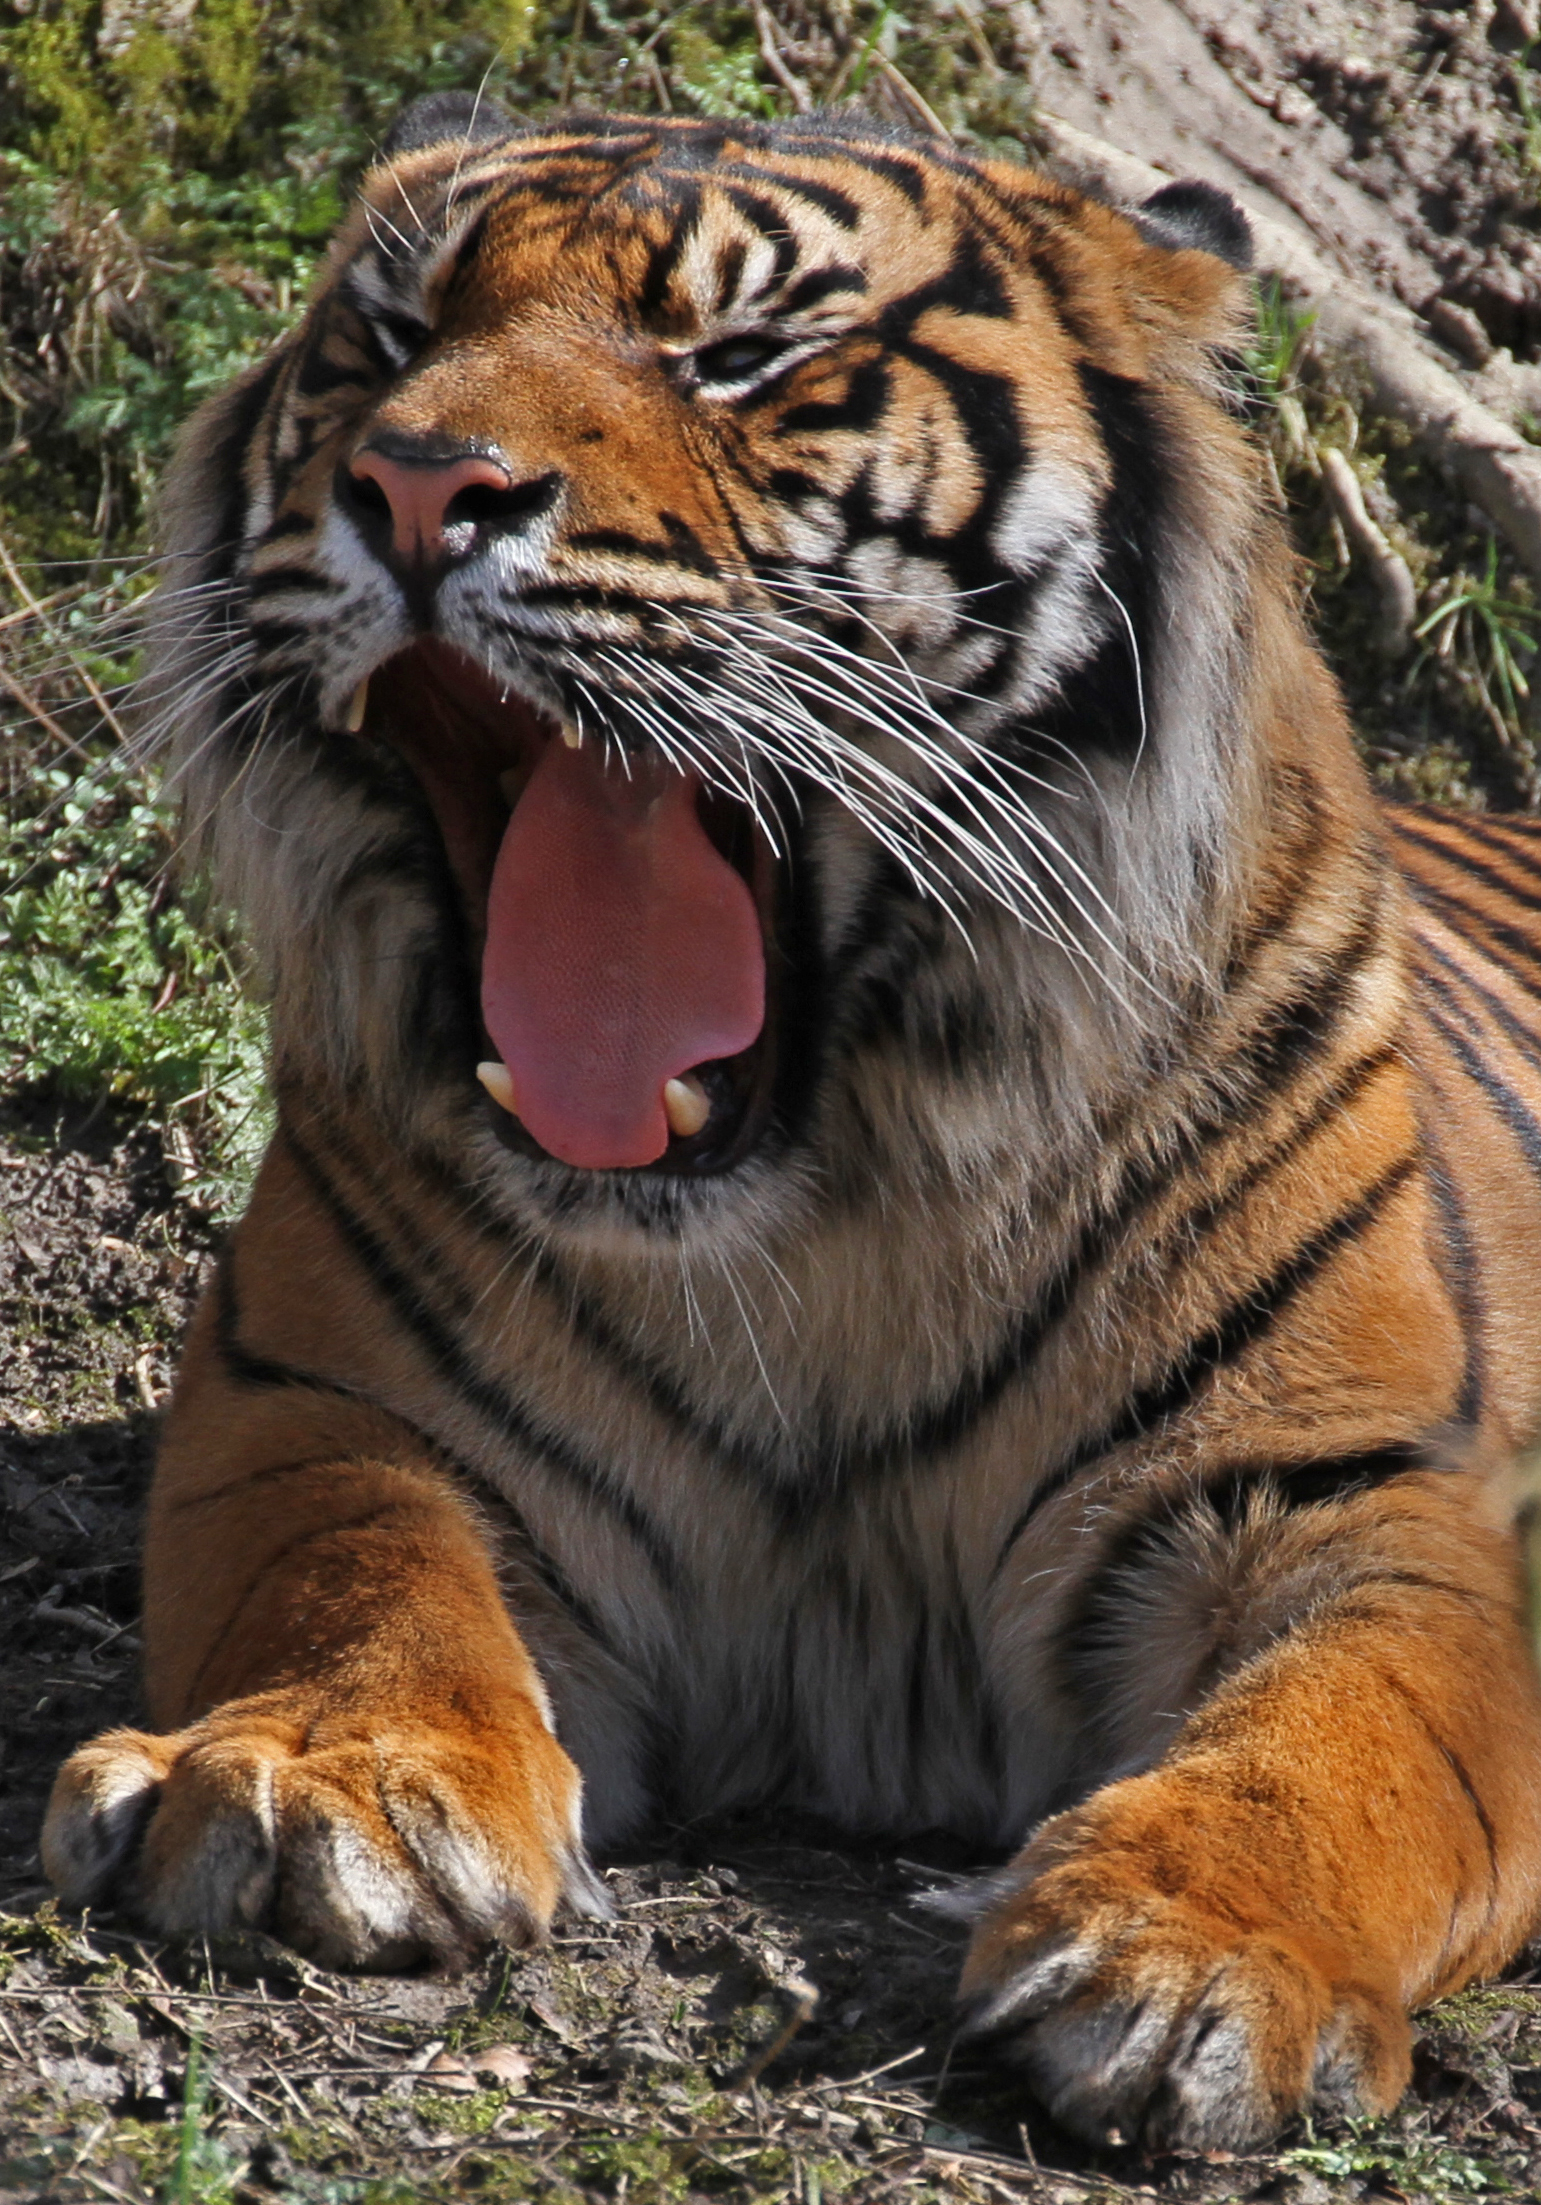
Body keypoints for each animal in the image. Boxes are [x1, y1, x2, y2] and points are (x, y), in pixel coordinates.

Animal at [42, 103, 1541, 2152]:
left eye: (737, 356)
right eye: (391, 336)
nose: (418, 487)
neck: (825, 1213)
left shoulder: (1353, 1496)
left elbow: (1348, 1735)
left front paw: (1192, 1954)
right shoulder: (320, 1407)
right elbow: (354, 1570)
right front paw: (313, 1778)